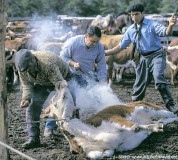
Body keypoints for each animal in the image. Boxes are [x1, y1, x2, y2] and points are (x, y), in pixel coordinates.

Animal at [41, 84, 178, 159]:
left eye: (54, 99)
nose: (59, 84)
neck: (85, 133)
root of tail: (134, 102)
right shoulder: (101, 150)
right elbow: (101, 155)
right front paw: (157, 126)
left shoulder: (112, 118)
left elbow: (135, 127)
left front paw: (156, 128)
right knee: (167, 118)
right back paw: (162, 123)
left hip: (148, 108)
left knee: (172, 114)